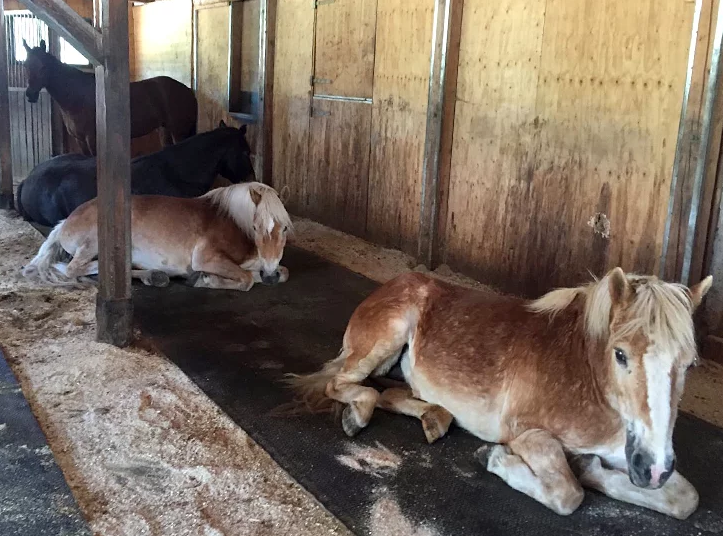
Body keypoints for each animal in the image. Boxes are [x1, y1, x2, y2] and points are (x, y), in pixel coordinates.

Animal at [22, 182, 292, 290]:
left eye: (285, 229)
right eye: (256, 227)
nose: (268, 273)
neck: (232, 221)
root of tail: (66, 221)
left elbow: (283, 273)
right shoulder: (206, 258)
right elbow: (246, 280)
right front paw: (205, 280)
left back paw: (154, 275)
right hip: (94, 243)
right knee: (73, 268)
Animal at [23, 39, 197, 156]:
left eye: (43, 67)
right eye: (25, 65)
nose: (30, 95)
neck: (76, 97)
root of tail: (188, 90)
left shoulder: (92, 140)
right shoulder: (81, 142)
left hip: (178, 133)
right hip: (164, 130)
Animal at [287, 268, 713, 519]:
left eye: (689, 364)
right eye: (620, 354)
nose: (652, 469)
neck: (586, 377)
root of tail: (394, 283)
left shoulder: (629, 450)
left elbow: (686, 500)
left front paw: (592, 469)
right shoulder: (528, 435)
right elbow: (567, 495)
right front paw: (495, 459)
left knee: (392, 396)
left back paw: (436, 419)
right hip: (384, 337)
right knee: (344, 385)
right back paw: (358, 415)